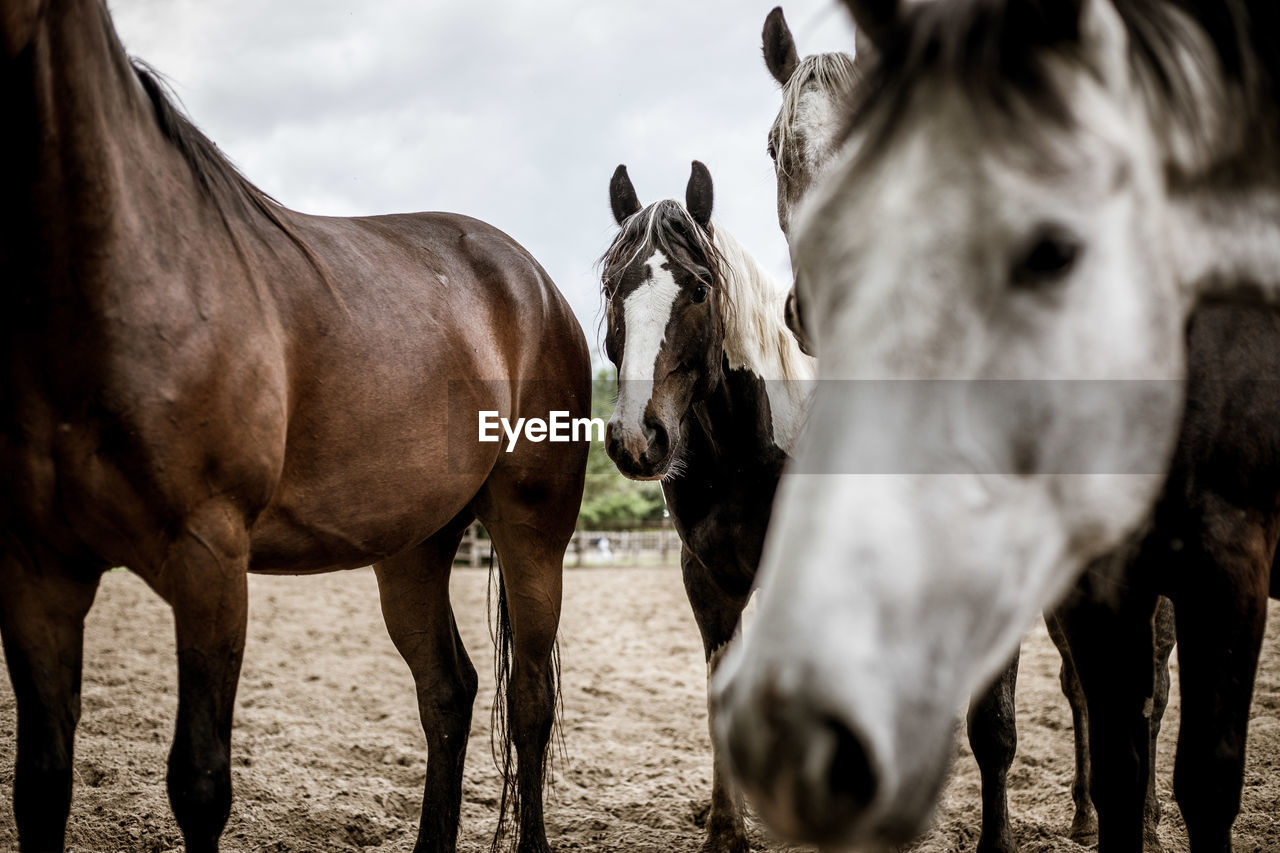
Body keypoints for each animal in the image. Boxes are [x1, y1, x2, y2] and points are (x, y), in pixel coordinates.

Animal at [0, 1, 588, 850]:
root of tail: (535, 284)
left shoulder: (210, 560)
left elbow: (199, 782)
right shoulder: (38, 570)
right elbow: (41, 785)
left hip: (532, 530)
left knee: (532, 699)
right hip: (412, 548)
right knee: (448, 691)